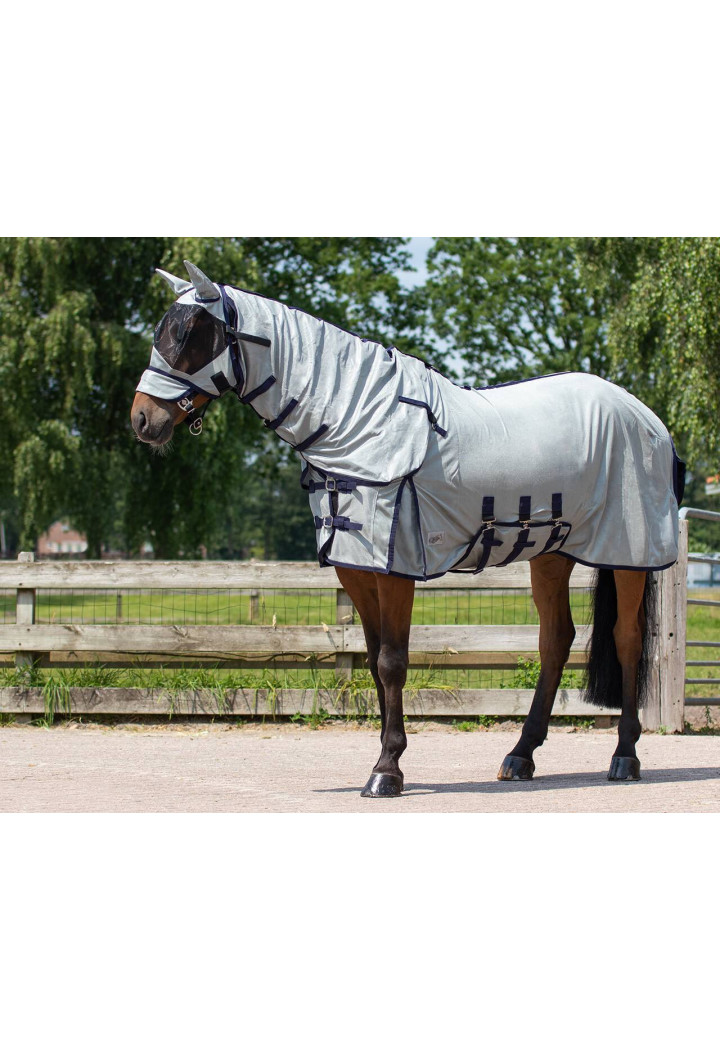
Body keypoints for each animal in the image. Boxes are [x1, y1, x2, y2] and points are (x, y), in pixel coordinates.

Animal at [131, 260, 685, 798]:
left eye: (192, 334)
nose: (142, 420)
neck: (357, 418)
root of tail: (649, 421)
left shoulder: (395, 567)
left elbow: (393, 662)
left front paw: (386, 772)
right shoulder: (356, 568)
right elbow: (375, 662)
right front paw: (385, 758)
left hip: (627, 554)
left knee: (627, 639)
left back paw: (625, 758)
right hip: (551, 554)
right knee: (556, 640)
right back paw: (520, 756)